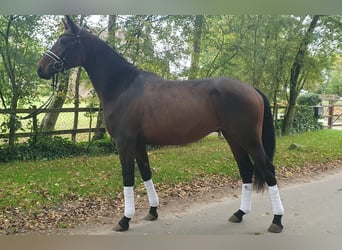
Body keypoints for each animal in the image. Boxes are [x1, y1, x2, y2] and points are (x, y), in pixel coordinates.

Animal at [36, 16, 286, 233]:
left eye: (65, 40)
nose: (41, 69)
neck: (122, 85)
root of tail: (251, 89)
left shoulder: (125, 142)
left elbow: (128, 176)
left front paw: (124, 220)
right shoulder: (138, 143)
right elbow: (146, 173)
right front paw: (153, 211)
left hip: (249, 139)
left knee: (268, 170)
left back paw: (276, 220)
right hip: (233, 138)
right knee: (246, 170)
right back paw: (239, 213)